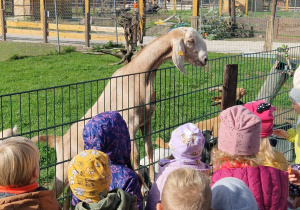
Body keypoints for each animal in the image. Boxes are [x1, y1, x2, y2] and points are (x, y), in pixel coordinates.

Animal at [31, 27, 209, 199]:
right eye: (190, 40)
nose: (205, 59)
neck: (140, 75)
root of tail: (59, 140)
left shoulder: (147, 121)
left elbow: (149, 149)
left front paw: (152, 181)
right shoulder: (130, 123)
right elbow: (135, 155)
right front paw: (143, 188)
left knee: (69, 193)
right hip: (62, 167)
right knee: (56, 191)